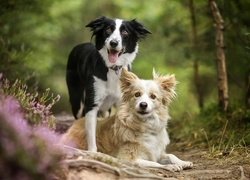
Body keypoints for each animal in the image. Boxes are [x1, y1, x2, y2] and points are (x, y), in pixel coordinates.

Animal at [60, 69, 193, 172]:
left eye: (153, 97)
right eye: (137, 94)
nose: (143, 105)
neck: (145, 126)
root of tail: (76, 123)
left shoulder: (156, 152)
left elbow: (171, 155)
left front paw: (183, 162)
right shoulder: (129, 159)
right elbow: (154, 163)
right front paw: (170, 167)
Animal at [65, 15, 150, 152]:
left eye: (125, 32)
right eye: (108, 30)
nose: (113, 43)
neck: (113, 68)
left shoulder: (121, 103)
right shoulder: (92, 105)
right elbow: (91, 135)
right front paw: (93, 152)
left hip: (105, 110)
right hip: (76, 100)